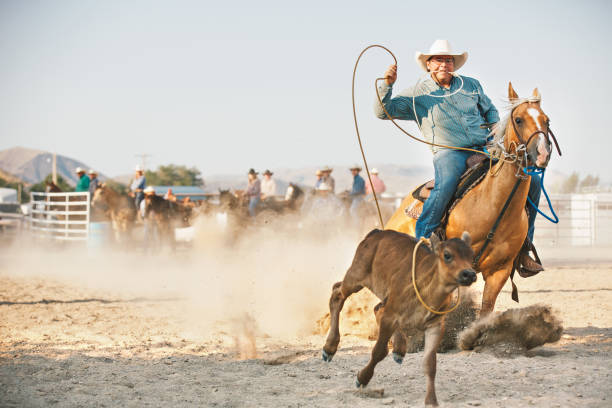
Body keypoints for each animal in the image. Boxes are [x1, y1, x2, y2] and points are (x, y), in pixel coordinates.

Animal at [322, 228, 476, 406]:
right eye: (447, 255)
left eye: (472, 255)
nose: (469, 274)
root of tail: (376, 232)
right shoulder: (390, 316)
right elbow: (378, 351)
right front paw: (362, 378)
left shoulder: (435, 325)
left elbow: (430, 363)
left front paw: (431, 400)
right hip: (355, 276)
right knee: (337, 293)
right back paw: (329, 348)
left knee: (376, 308)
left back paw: (399, 349)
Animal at [388, 84, 560, 316]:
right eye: (518, 120)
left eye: (546, 120)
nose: (542, 153)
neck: (494, 207)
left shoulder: (499, 271)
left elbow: (485, 310)